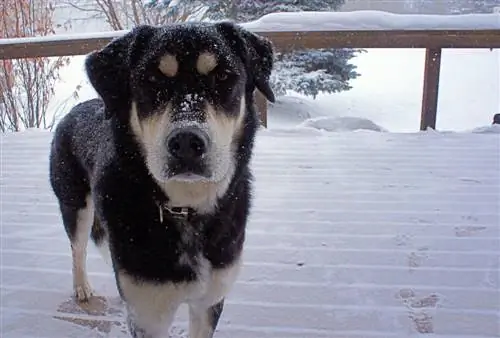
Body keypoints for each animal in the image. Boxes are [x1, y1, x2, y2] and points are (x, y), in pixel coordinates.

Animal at [48, 21, 276, 338]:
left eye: (222, 77)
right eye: (152, 80)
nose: (187, 143)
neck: (186, 207)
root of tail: (74, 111)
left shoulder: (210, 300)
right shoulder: (148, 314)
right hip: (75, 203)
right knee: (77, 249)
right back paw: (82, 287)